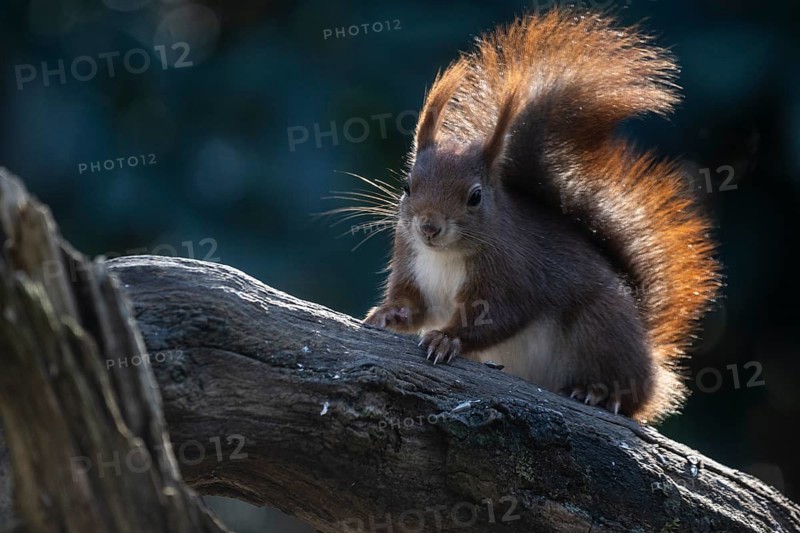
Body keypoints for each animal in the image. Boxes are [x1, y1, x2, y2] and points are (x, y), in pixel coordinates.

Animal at [361, 9, 721, 422]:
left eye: (475, 197)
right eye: (407, 185)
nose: (429, 227)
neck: (445, 256)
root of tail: (651, 368)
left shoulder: (512, 277)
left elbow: (498, 317)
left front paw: (447, 339)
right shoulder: (411, 261)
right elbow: (412, 306)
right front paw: (385, 314)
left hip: (600, 329)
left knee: (626, 393)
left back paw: (597, 392)